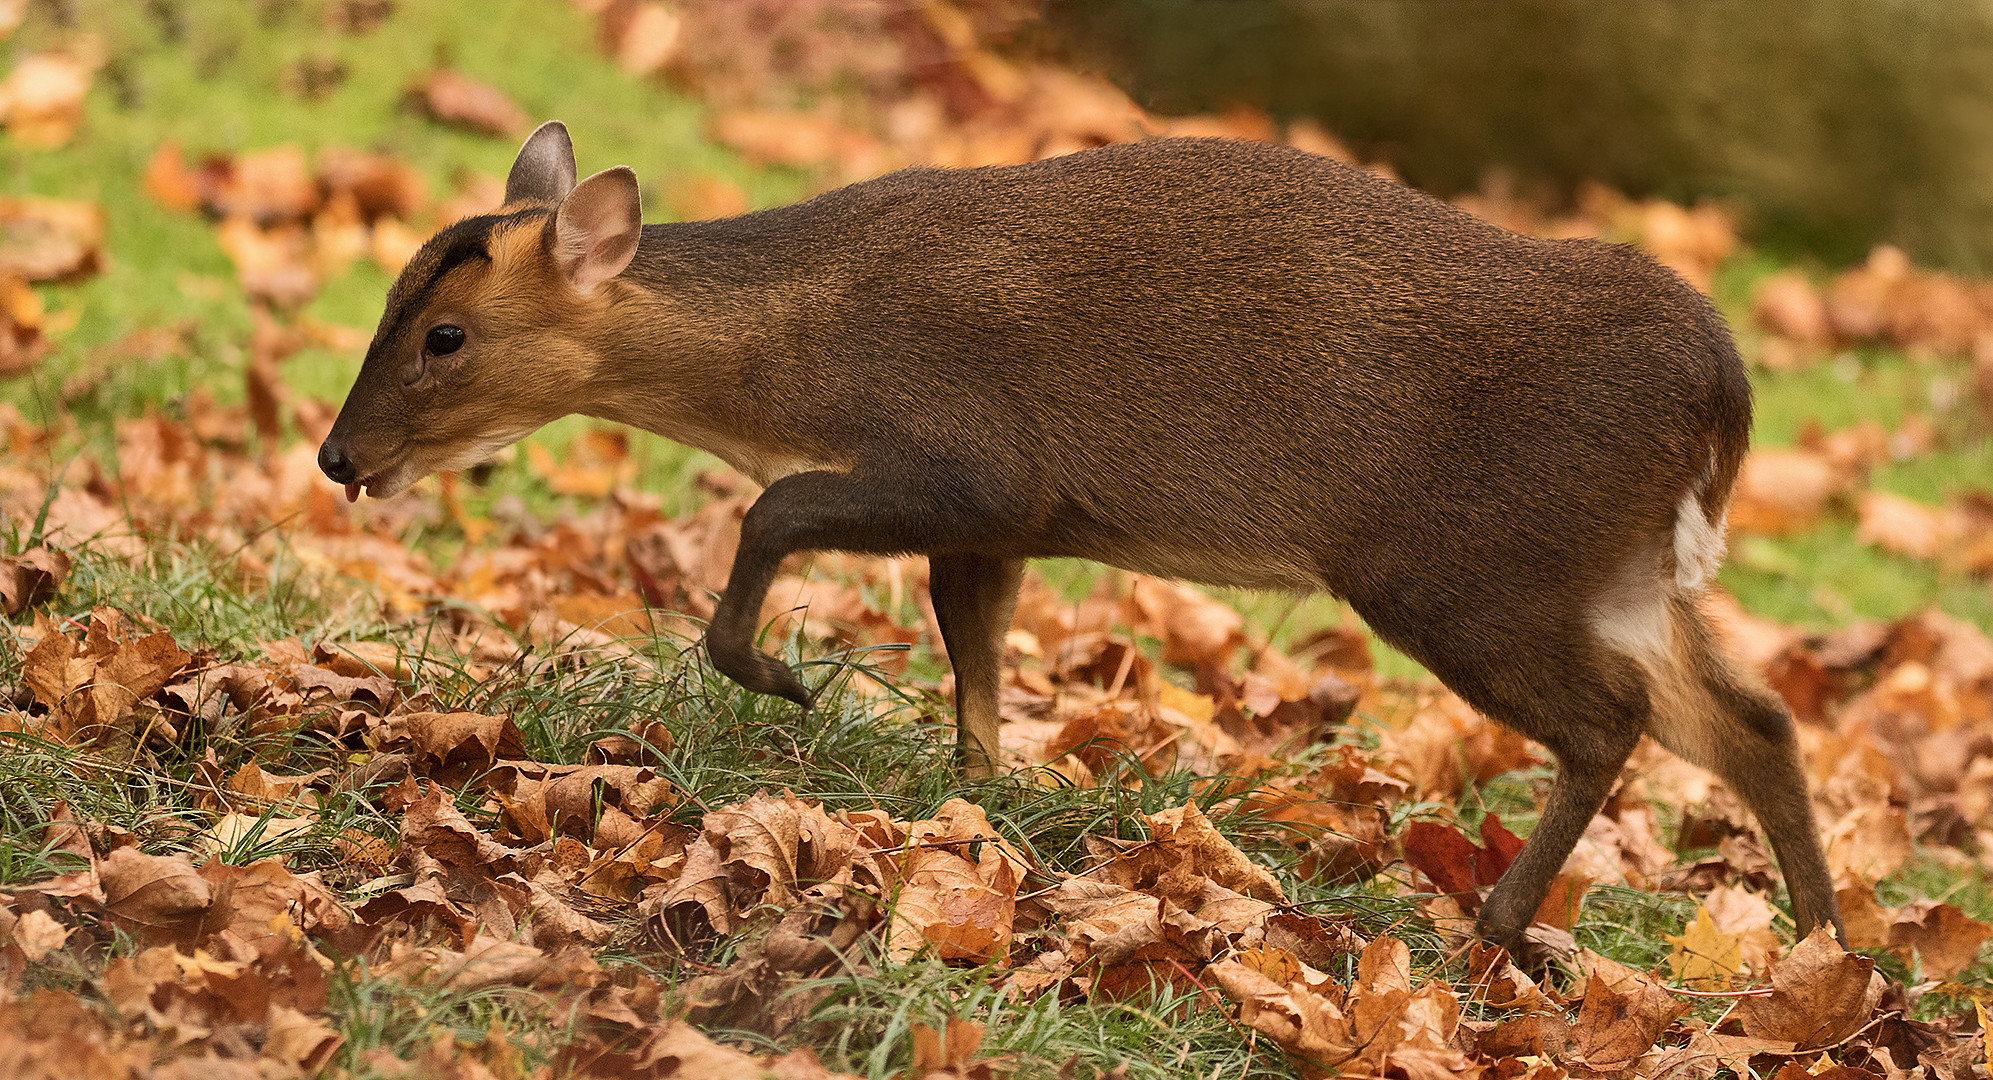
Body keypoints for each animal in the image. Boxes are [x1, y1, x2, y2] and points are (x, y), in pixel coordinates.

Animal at [318, 122, 1841, 952]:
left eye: (444, 336)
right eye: (390, 297)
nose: (336, 457)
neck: (792, 360)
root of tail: (1721, 394)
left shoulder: (977, 463)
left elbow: (774, 510)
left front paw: (779, 678)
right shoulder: (1003, 525)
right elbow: (975, 652)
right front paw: (979, 808)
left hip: (1464, 571)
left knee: (1611, 722)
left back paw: (1500, 921)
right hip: (1618, 575)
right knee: (1754, 721)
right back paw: (1829, 957)